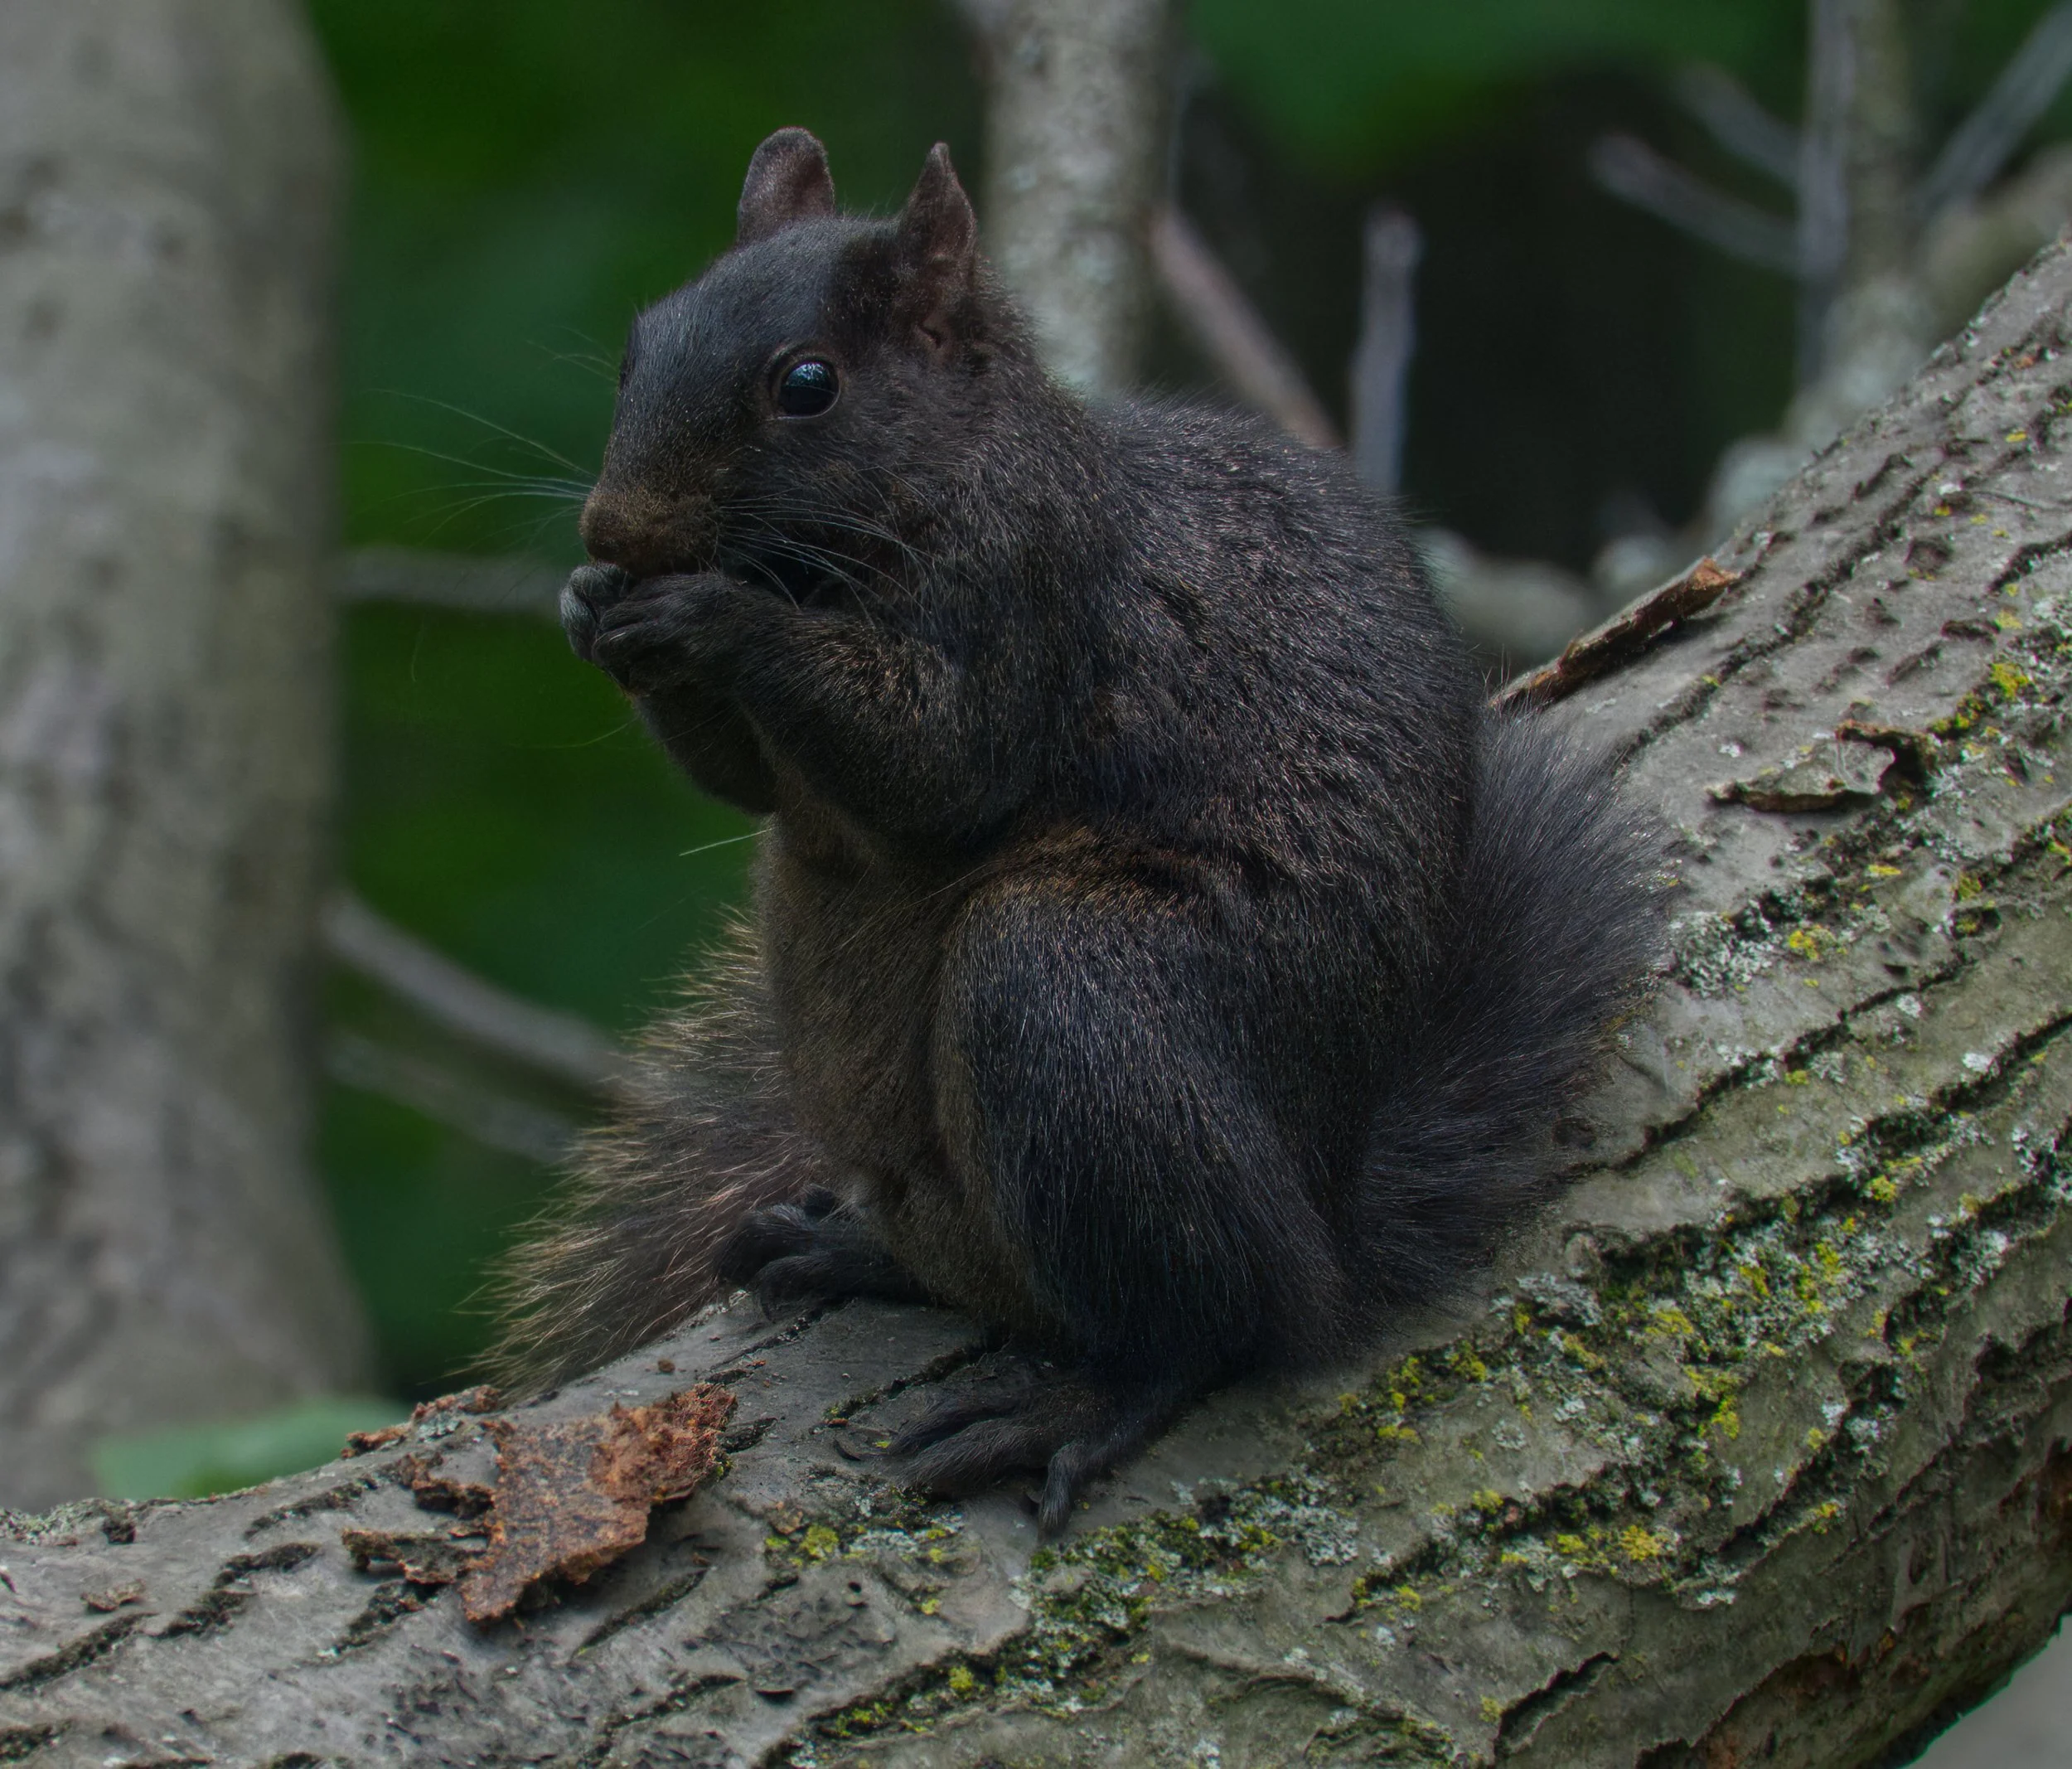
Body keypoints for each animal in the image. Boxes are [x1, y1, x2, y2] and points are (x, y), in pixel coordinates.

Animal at [491, 127, 1658, 1534]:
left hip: (1069, 995)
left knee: (1214, 1329)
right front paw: (590, 600)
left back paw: (1070, 1404)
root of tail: (1326, 1225)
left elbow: (939, 760)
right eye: (638, 342)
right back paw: (850, 1244)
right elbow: (751, 789)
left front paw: (713, 614)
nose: (615, 527)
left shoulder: (1034, 604)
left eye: (808, 385)